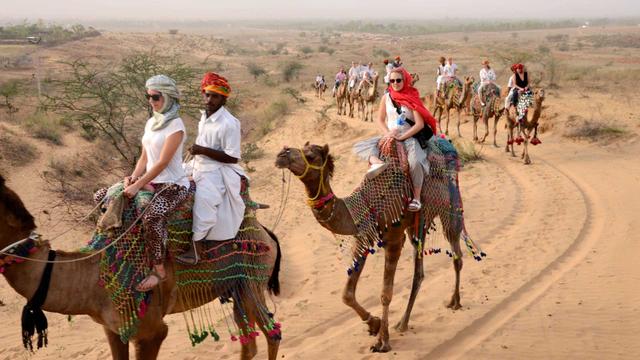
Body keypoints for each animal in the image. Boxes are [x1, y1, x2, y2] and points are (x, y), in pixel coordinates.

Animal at [0, 174, 282, 358]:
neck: (91, 279)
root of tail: (266, 232)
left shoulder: (150, 331)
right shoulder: (112, 329)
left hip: (251, 279)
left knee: (272, 333)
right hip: (234, 288)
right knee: (250, 342)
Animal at [272, 142, 472, 352]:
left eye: (310, 156)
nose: (282, 154)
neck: (365, 204)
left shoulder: (394, 238)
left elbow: (385, 294)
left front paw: (383, 341)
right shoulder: (364, 238)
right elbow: (347, 294)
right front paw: (373, 324)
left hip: (450, 205)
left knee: (457, 255)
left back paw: (455, 302)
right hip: (418, 225)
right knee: (420, 271)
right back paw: (403, 322)